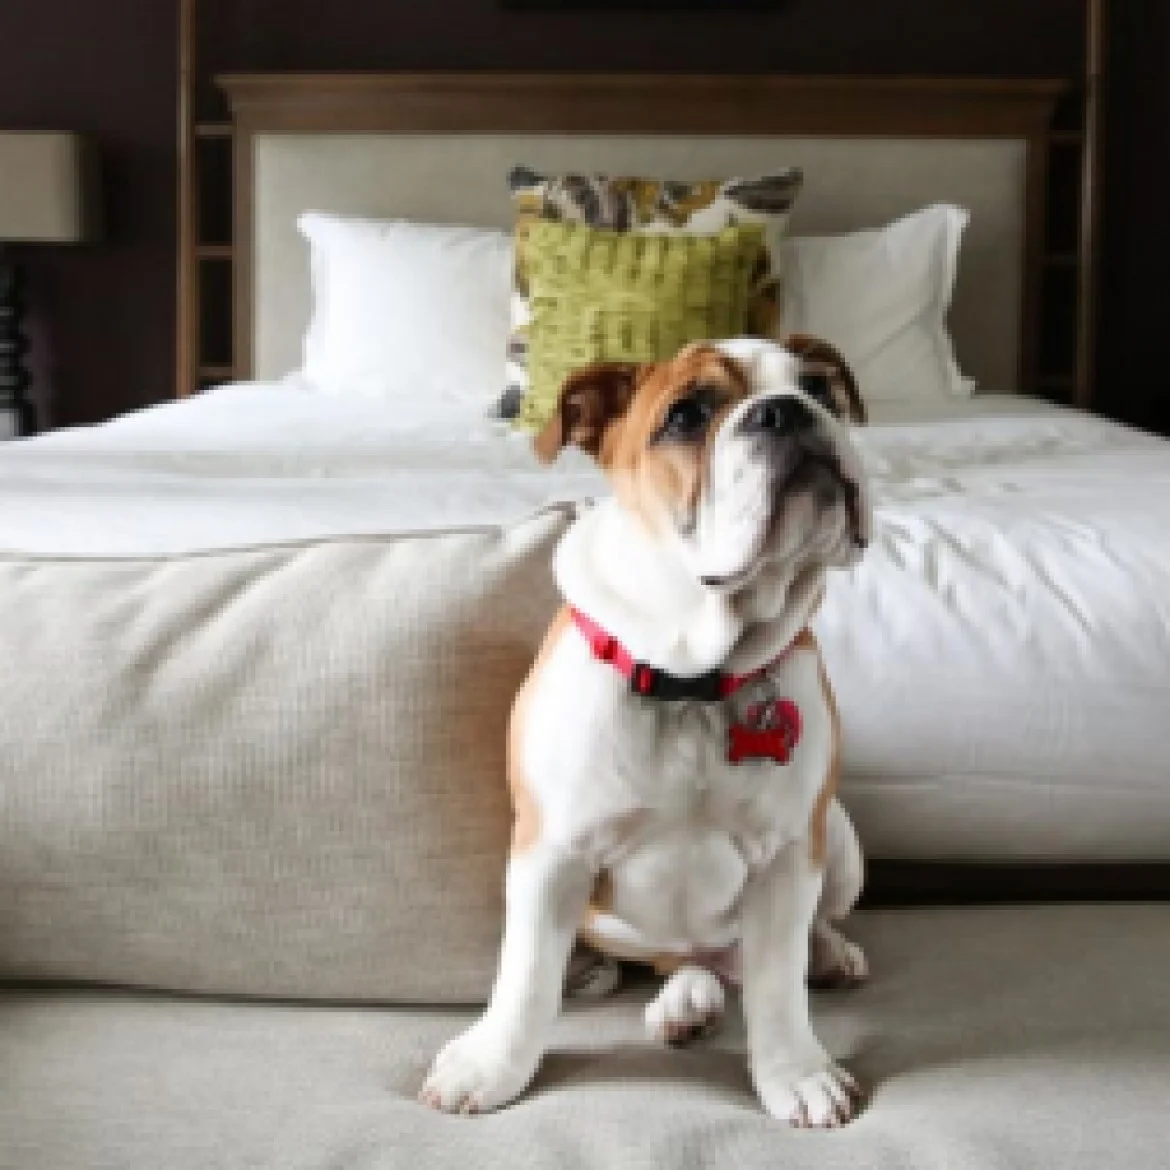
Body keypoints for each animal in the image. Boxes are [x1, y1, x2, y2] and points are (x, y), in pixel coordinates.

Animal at [421, 336, 871, 1126]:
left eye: (819, 387)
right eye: (686, 415)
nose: (786, 411)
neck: (695, 675)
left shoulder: (791, 855)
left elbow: (779, 986)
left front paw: (797, 1072)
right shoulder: (551, 854)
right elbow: (524, 976)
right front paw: (491, 1065)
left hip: (840, 842)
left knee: (782, 944)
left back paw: (826, 954)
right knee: (682, 961)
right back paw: (683, 1000)